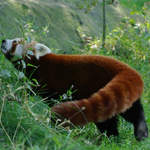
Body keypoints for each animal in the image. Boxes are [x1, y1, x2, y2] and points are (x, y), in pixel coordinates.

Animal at [0, 37, 148, 141]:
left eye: (15, 42)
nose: (3, 40)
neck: (41, 62)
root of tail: (125, 68)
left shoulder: (47, 80)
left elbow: (33, 92)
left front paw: (14, 96)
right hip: (119, 94)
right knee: (129, 112)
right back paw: (132, 133)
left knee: (109, 120)